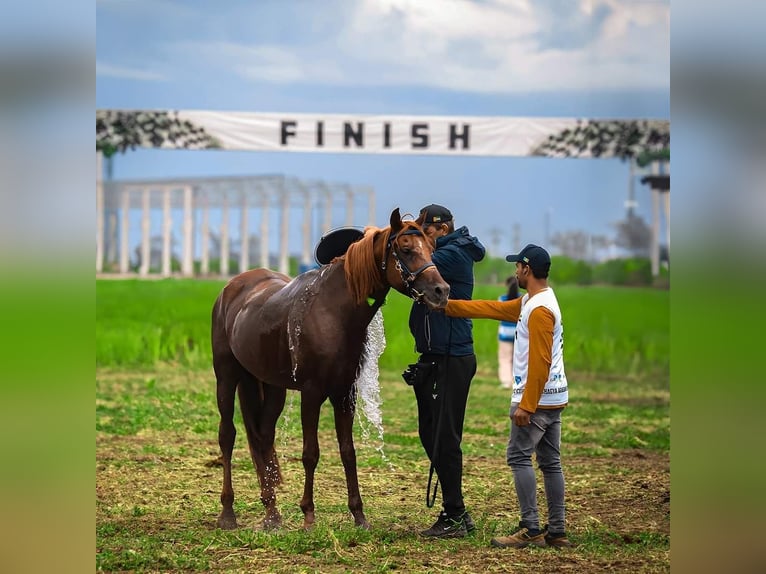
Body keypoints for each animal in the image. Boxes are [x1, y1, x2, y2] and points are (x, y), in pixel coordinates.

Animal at [211, 208, 450, 531]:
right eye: (406, 249)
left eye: (432, 248)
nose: (441, 291)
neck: (334, 312)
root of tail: (231, 288)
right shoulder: (312, 393)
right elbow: (310, 453)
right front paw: (309, 515)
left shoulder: (344, 393)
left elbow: (348, 452)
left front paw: (359, 515)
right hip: (226, 376)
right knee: (228, 435)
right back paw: (228, 512)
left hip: (270, 387)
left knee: (263, 438)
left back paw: (272, 514)